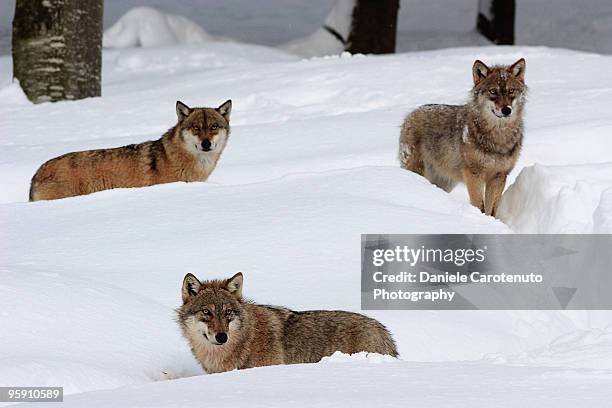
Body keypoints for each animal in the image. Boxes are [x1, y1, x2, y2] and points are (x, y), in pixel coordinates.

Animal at [402, 59, 524, 217]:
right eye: (493, 91)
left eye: (511, 91)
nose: (506, 110)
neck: (499, 136)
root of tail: (410, 114)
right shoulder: (474, 174)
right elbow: (480, 205)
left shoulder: (499, 176)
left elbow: (491, 210)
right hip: (418, 170)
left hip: (445, 182)